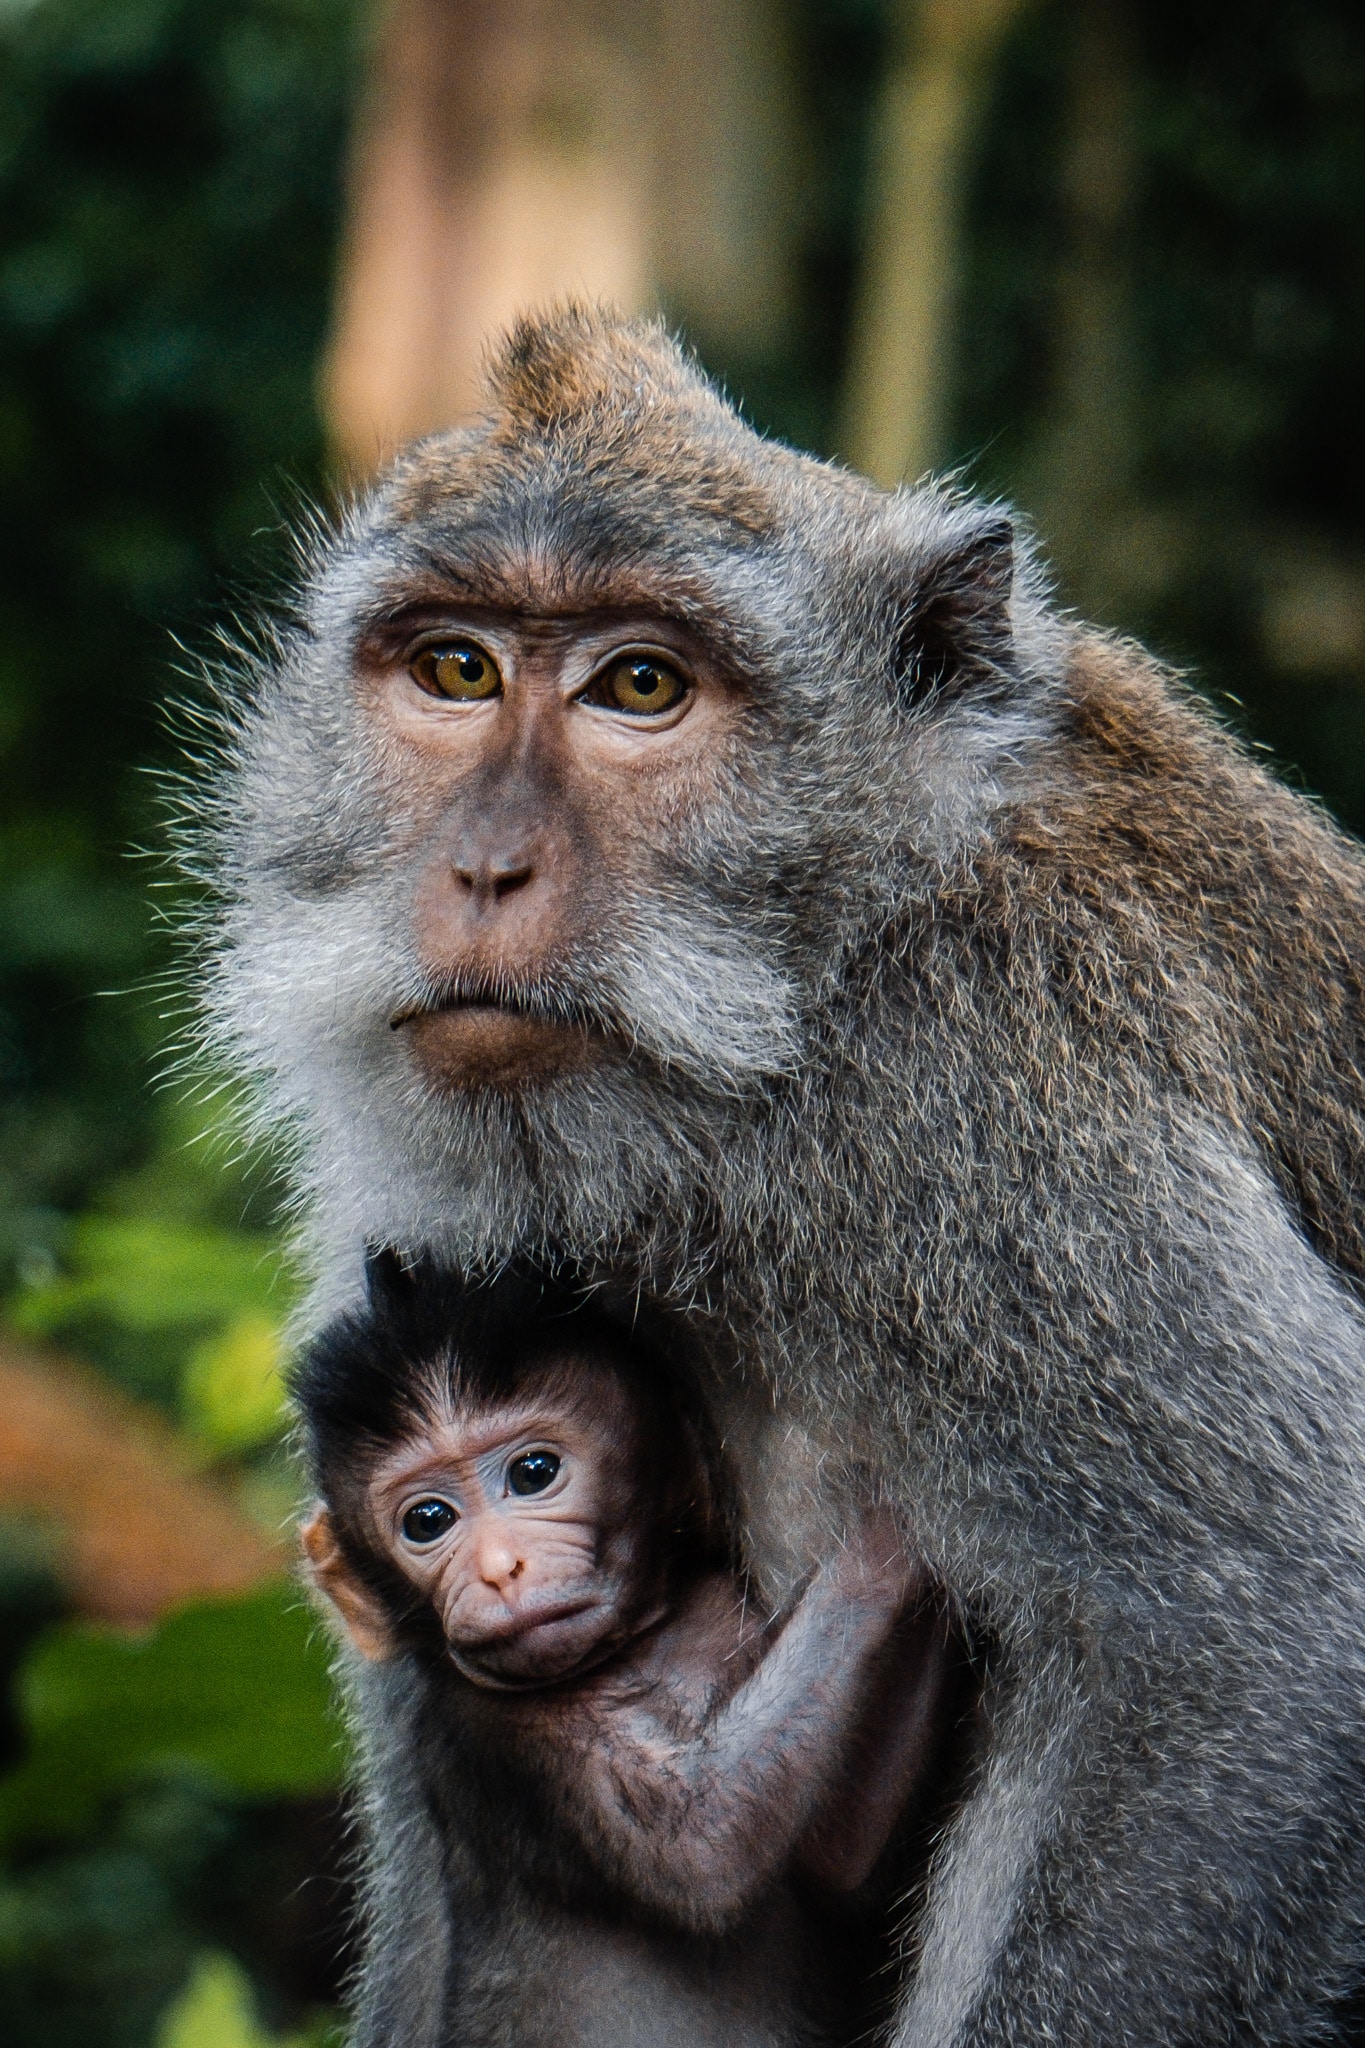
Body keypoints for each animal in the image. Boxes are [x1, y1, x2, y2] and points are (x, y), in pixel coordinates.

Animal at [294, 1254, 958, 2048]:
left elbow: (840, 1857)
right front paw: (883, 1543)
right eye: (427, 1520)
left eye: (534, 1473)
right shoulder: (497, 1733)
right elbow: (701, 1845)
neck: (637, 1648)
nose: (498, 1568)